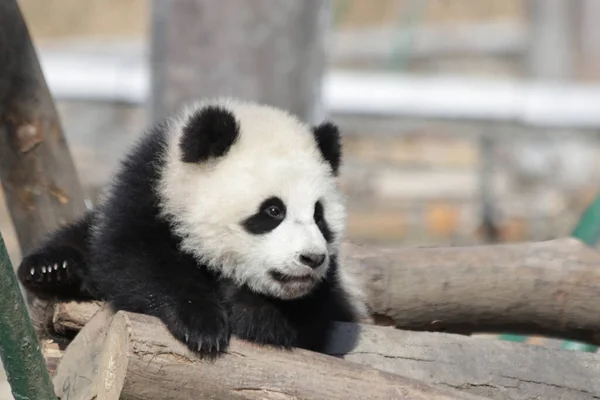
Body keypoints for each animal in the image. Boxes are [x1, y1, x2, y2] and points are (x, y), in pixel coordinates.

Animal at [17, 98, 366, 358]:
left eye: (319, 216)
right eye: (273, 210)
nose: (312, 259)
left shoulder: (327, 294)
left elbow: (305, 321)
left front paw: (255, 313)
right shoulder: (147, 198)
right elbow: (133, 262)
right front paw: (202, 325)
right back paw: (51, 269)